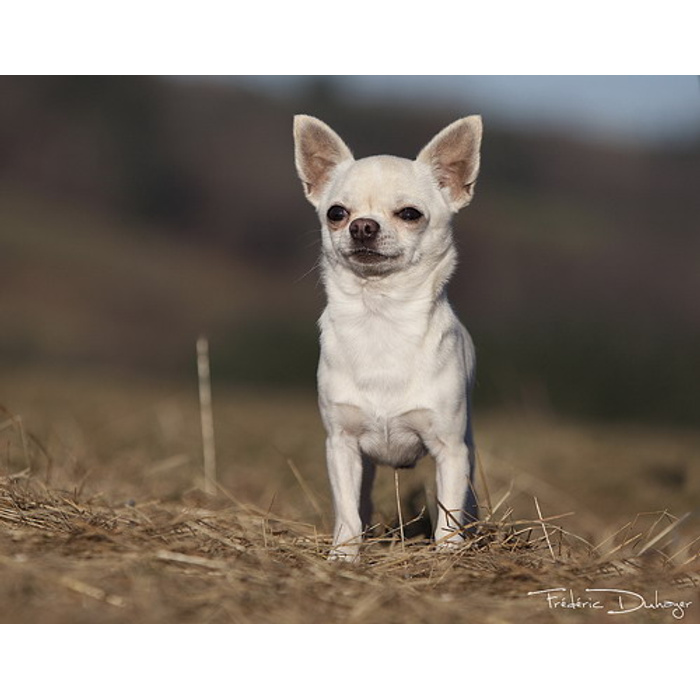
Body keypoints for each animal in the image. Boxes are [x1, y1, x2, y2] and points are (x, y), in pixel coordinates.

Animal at [294, 115, 482, 560]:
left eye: (410, 214)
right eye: (336, 213)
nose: (362, 225)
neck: (380, 318)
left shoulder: (451, 451)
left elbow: (448, 515)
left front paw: (447, 555)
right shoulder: (341, 446)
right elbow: (347, 510)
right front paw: (343, 555)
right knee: (359, 502)